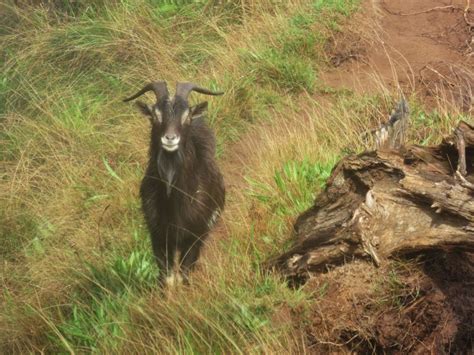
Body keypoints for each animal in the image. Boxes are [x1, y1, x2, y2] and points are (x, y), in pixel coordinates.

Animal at [124, 81, 224, 286]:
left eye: (186, 116)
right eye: (155, 115)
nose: (170, 139)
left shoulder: (194, 236)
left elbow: (184, 275)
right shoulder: (158, 236)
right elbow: (167, 278)